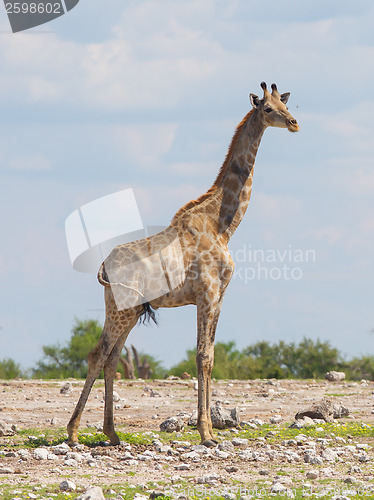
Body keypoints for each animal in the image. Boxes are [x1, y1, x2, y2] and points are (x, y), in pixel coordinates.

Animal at [67, 83, 300, 450]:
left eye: (285, 103)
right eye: (267, 108)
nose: (293, 123)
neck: (222, 225)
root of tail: (103, 267)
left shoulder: (219, 297)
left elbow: (211, 357)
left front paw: (210, 430)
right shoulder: (206, 293)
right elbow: (202, 356)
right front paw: (205, 432)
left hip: (130, 311)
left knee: (112, 358)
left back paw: (112, 432)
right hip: (119, 310)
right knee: (98, 355)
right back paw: (74, 432)